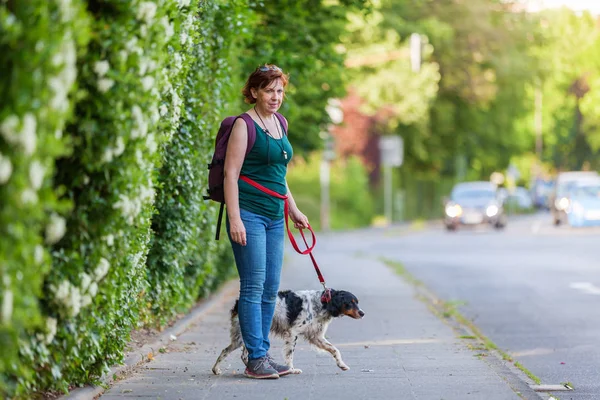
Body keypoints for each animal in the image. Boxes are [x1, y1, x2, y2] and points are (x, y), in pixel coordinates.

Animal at [213, 290, 364, 374]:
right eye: (350, 302)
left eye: (357, 302)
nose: (362, 313)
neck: (322, 303)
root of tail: (238, 303)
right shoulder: (293, 333)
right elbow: (290, 355)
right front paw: (292, 370)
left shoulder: (316, 337)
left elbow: (335, 350)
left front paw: (342, 365)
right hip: (243, 337)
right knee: (231, 352)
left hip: (245, 337)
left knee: (237, 354)